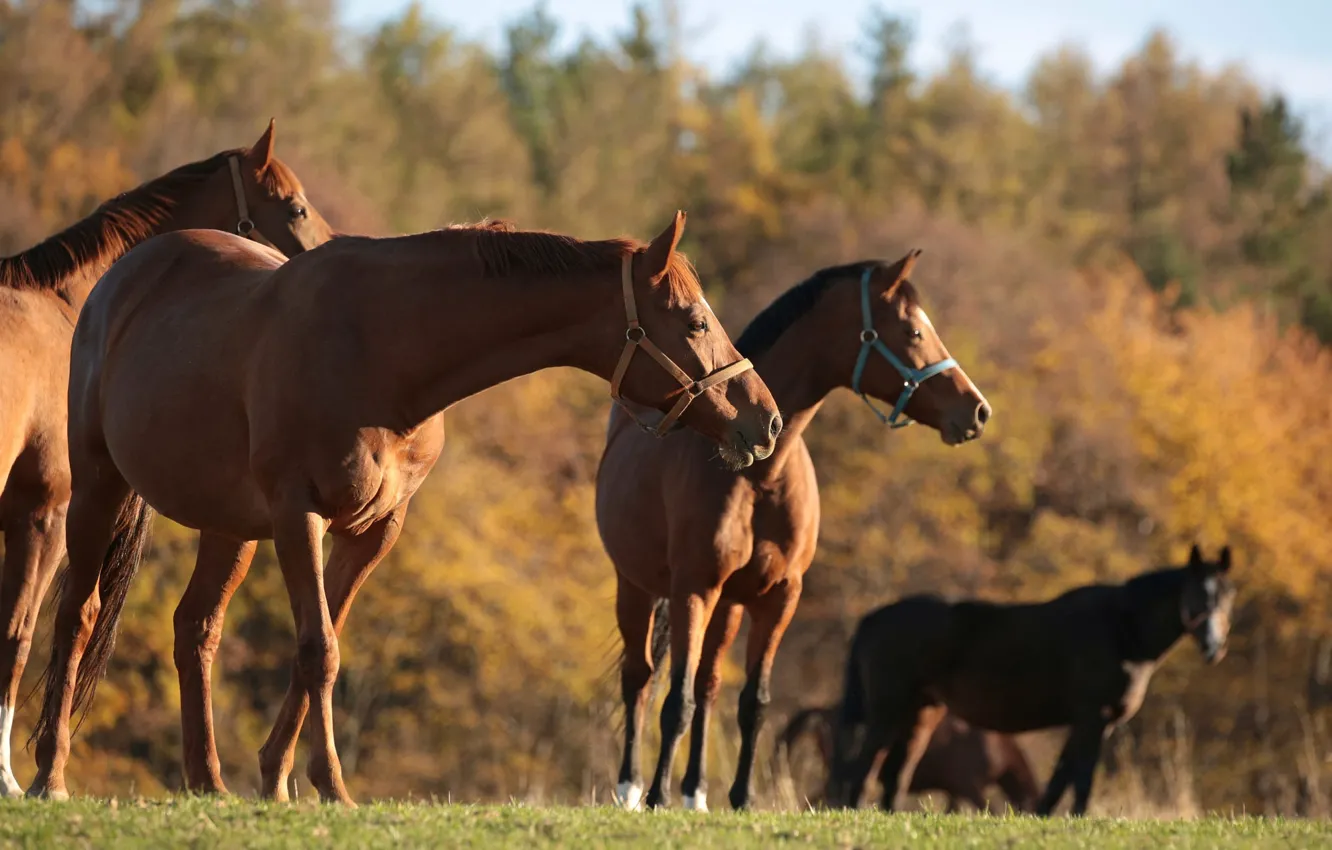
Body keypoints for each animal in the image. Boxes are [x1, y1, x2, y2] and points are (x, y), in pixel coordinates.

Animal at [25, 210, 782, 804]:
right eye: (695, 320)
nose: (766, 421)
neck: (381, 348)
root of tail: (124, 276)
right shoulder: (299, 515)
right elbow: (319, 649)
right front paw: (331, 785)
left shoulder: (373, 532)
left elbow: (320, 645)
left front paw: (279, 781)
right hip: (99, 487)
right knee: (78, 614)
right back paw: (48, 773)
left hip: (228, 525)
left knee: (196, 629)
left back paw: (206, 781)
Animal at [596, 252, 991, 811]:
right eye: (914, 330)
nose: (977, 410)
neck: (759, 477)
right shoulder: (694, 588)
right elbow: (677, 701)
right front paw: (656, 798)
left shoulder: (779, 596)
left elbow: (752, 703)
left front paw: (741, 799)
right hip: (636, 588)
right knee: (641, 679)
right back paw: (631, 788)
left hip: (729, 606)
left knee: (710, 684)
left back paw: (695, 793)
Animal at [827, 544, 1236, 816]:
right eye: (1197, 595)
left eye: (1227, 596)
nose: (1214, 647)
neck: (1122, 631)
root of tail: (874, 618)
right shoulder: (1093, 718)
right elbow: (1082, 778)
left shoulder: (1089, 722)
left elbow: (1059, 780)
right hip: (888, 711)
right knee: (864, 767)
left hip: (920, 714)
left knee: (896, 774)